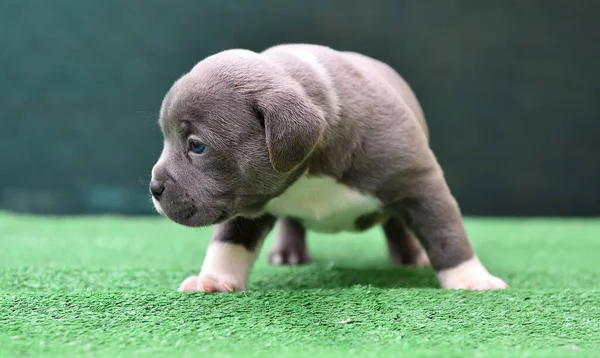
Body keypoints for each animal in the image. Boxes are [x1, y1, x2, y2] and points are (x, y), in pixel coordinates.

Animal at [149, 43, 506, 292]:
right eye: (165, 137)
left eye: (197, 145)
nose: (154, 188)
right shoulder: (243, 202)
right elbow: (229, 241)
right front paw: (213, 278)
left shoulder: (421, 182)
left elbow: (446, 232)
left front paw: (469, 278)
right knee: (292, 224)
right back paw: (288, 253)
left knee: (397, 223)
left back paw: (409, 255)